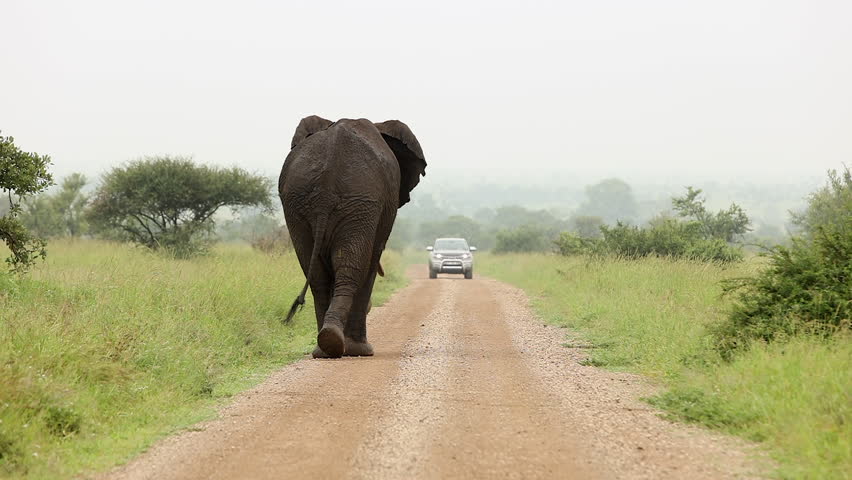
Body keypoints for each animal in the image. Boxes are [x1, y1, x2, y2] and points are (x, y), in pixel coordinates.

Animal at [279, 116, 426, 358]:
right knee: (352, 266)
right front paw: (361, 351)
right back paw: (349, 347)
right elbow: (371, 260)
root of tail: (325, 188)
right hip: (358, 202)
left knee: (318, 274)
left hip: (302, 204)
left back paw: (325, 347)